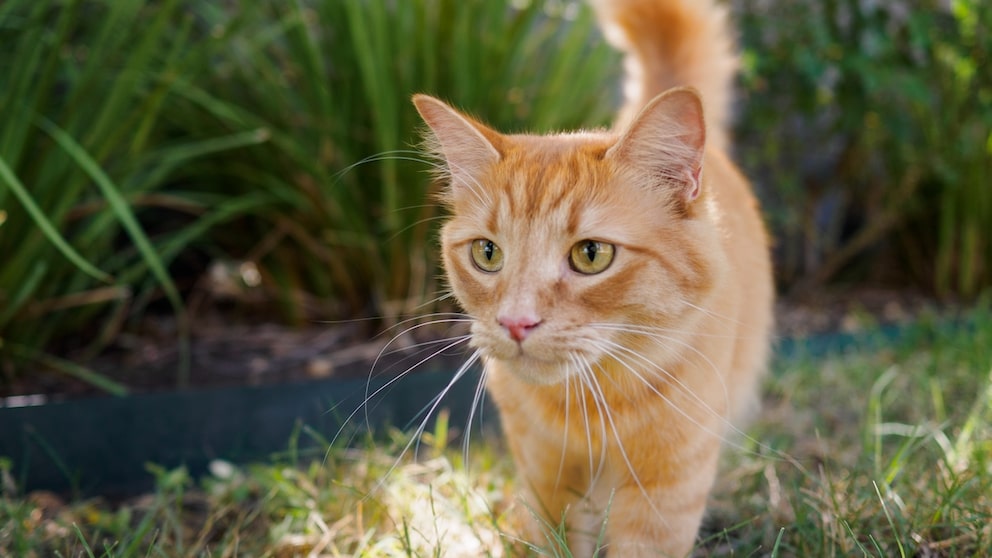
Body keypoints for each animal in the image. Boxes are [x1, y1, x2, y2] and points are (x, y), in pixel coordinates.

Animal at [410, 0, 776, 556]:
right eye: (487, 253)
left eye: (591, 255)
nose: (516, 322)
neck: (588, 405)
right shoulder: (545, 483)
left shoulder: (665, 495)